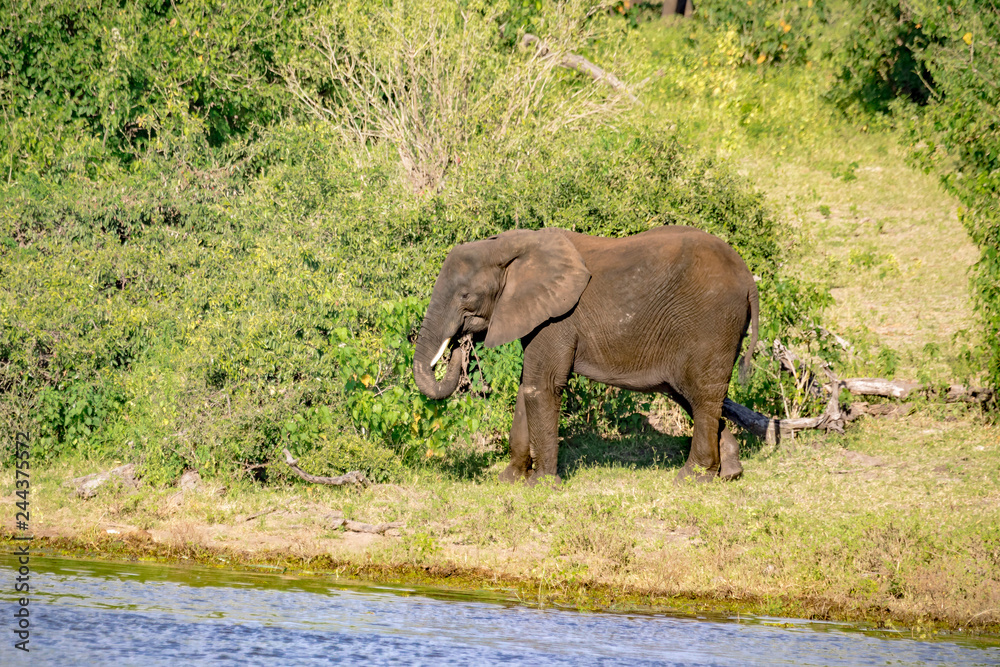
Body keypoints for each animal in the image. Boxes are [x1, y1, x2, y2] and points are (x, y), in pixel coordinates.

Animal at [412, 225, 759, 483]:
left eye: (466, 296)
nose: (461, 343)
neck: (508, 247)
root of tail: (748, 277)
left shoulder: (558, 317)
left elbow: (541, 386)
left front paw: (542, 485)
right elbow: (527, 386)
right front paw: (509, 480)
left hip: (712, 323)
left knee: (702, 394)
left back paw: (692, 478)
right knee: (692, 394)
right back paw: (729, 472)